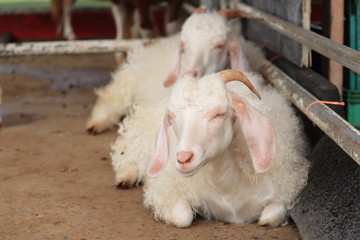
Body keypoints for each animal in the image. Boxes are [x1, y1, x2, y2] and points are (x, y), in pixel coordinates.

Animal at [85, 9, 264, 134]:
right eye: (184, 45)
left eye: (220, 45)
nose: (189, 73)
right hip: (127, 82)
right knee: (112, 96)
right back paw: (97, 123)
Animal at [112, 69, 310, 227]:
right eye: (171, 116)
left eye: (219, 114)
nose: (184, 158)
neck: (226, 188)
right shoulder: (168, 189)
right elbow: (182, 216)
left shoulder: (286, 189)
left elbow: (270, 217)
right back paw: (126, 176)